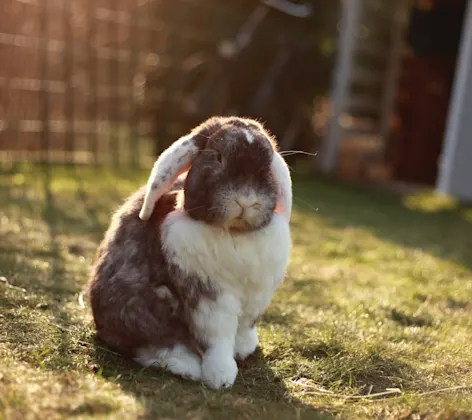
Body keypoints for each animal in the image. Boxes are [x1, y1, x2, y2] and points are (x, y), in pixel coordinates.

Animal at [86, 115, 290, 390]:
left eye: (267, 165)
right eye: (218, 156)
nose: (246, 200)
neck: (234, 233)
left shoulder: (255, 295)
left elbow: (244, 327)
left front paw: (244, 349)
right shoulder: (207, 294)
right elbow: (218, 337)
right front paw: (221, 376)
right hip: (138, 308)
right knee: (155, 345)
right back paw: (187, 367)